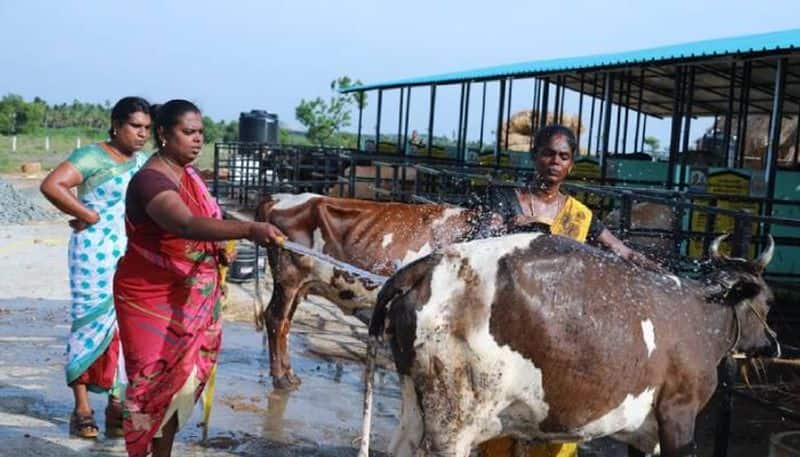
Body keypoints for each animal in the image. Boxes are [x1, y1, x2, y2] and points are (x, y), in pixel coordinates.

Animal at [260, 192, 478, 388]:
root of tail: (280, 199)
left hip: (299, 286)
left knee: (285, 323)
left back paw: (290, 375)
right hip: (288, 279)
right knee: (275, 318)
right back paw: (281, 379)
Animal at [368, 233, 776, 454]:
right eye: (769, 302)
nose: (773, 345)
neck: (702, 316)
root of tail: (435, 260)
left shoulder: (644, 431)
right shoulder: (678, 415)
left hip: (416, 405)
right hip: (453, 418)